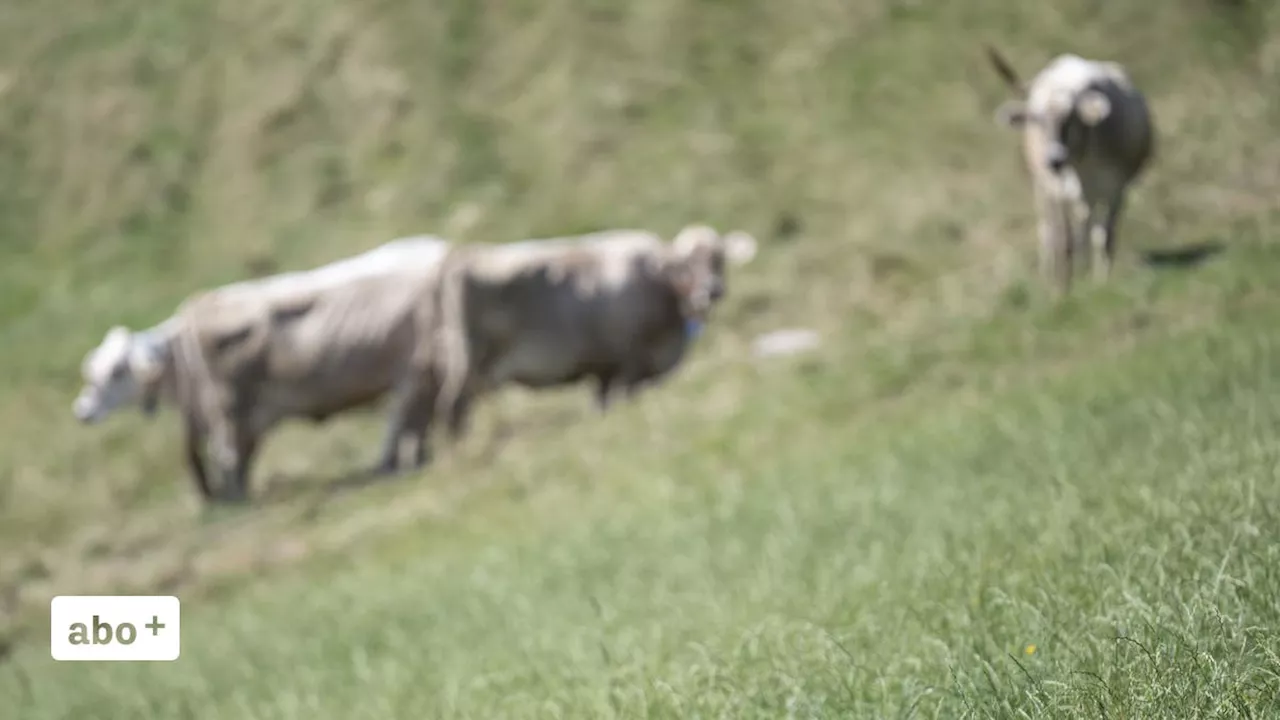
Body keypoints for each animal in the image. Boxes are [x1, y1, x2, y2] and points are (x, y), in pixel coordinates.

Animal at [72, 233, 455, 502]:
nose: (82, 410)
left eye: (117, 371)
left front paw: (236, 500)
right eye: (92, 370)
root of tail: (439, 246)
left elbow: (230, 462)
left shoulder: (232, 414)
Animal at [430, 221, 757, 440]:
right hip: (469, 364)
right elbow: (620, 401)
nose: (713, 290)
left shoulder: (606, 368)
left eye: (720, 259)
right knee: (452, 409)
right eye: (685, 265)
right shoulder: (628, 362)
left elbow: (601, 405)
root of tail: (466, 255)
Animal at [983, 45, 1157, 292]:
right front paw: (1063, 289)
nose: (1054, 160)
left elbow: (1103, 236)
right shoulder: (1057, 191)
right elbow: (1064, 242)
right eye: (1037, 120)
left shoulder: (1116, 187)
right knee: (1048, 232)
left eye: (1071, 118)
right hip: (1043, 189)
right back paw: (1049, 276)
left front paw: (1100, 282)